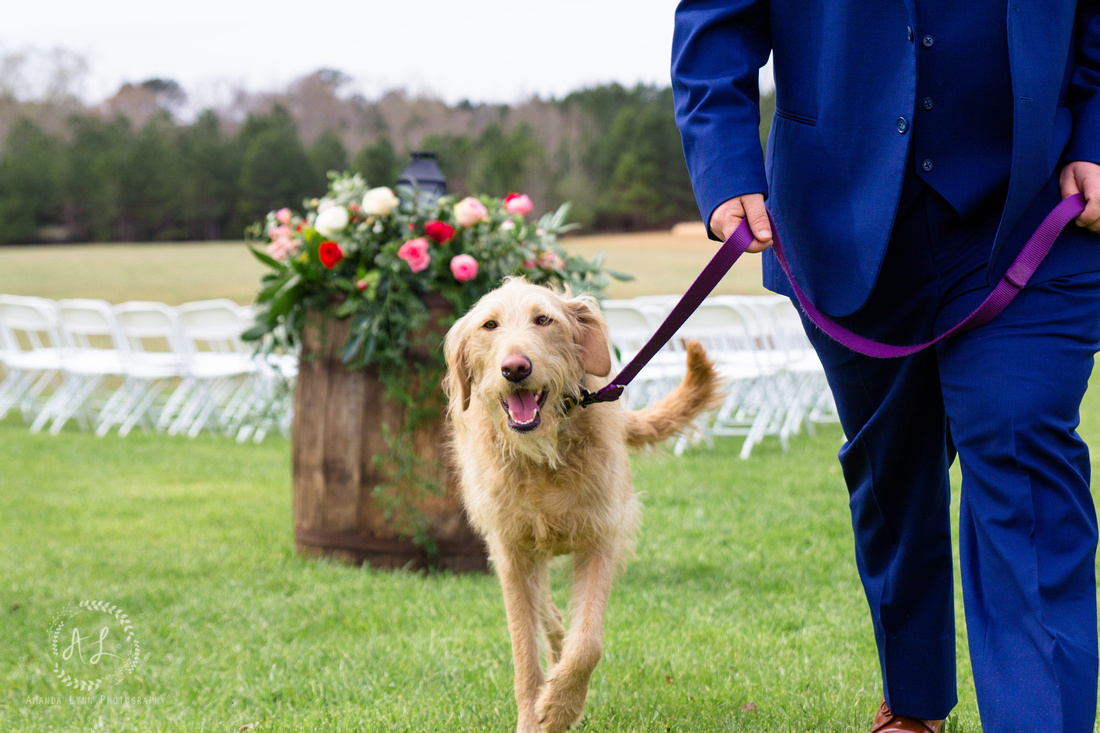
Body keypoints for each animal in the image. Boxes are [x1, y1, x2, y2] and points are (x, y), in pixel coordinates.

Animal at [442, 277, 726, 726]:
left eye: (544, 320)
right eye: (490, 325)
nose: (515, 368)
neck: (543, 457)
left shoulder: (601, 539)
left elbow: (588, 642)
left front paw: (560, 706)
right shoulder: (511, 552)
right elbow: (524, 653)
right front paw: (534, 715)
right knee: (547, 614)